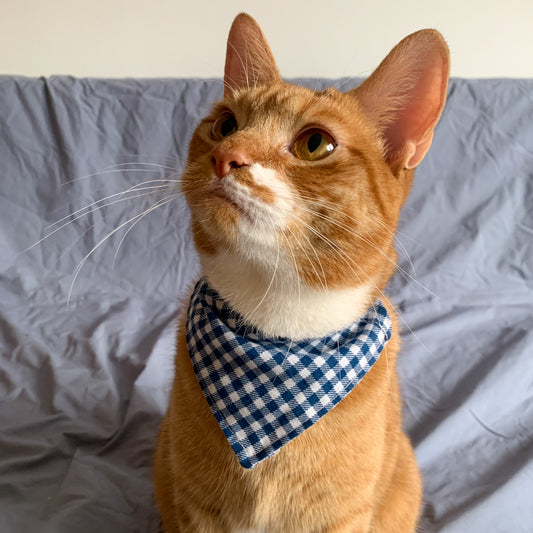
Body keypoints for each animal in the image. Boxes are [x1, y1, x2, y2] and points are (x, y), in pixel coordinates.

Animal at [153, 13, 448, 532]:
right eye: (225, 124)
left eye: (315, 144)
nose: (225, 155)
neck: (279, 334)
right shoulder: (196, 509)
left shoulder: (341, 518)